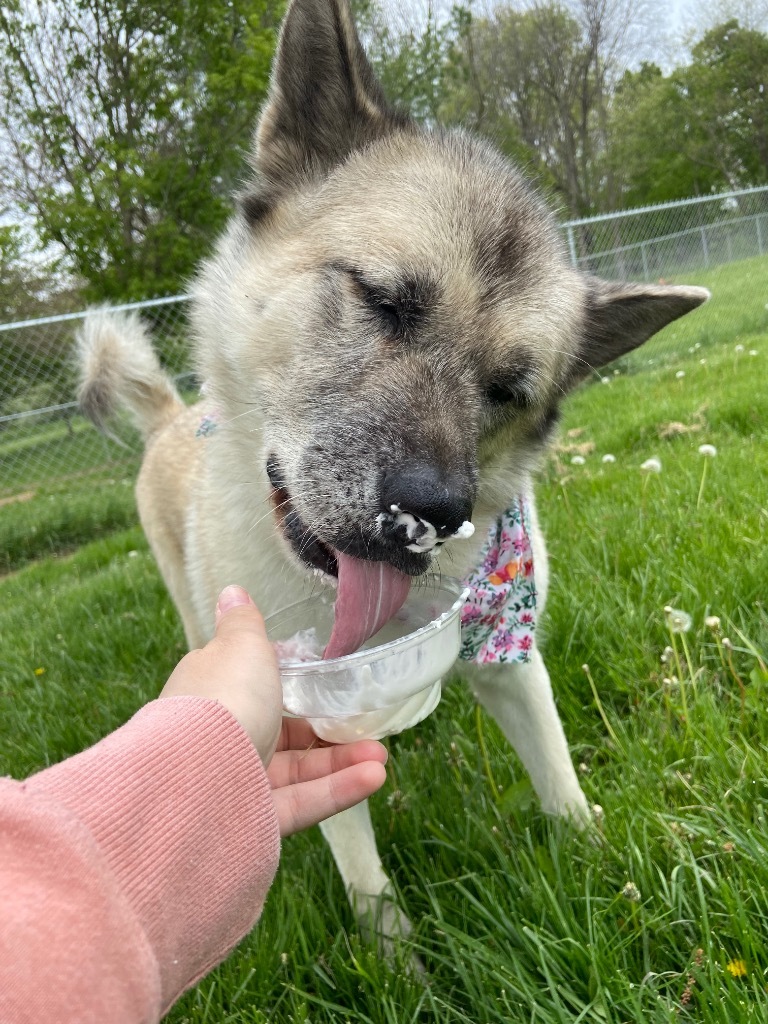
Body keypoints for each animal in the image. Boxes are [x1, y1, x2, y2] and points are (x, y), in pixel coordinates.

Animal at [78, 0, 708, 946]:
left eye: (507, 390)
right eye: (382, 301)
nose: (432, 515)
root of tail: (167, 415)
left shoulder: (512, 662)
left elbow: (560, 784)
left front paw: (605, 870)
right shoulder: (310, 713)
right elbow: (366, 878)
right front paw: (395, 959)